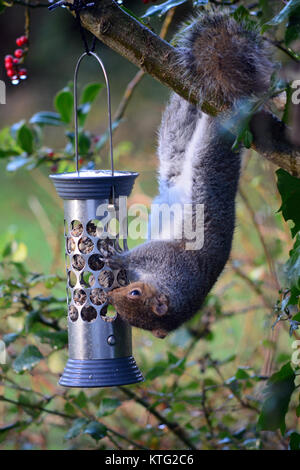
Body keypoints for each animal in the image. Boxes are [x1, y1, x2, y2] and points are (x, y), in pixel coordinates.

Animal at [106, 10, 274, 338]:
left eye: (134, 295)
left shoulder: (169, 260)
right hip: (178, 141)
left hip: (207, 155)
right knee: (182, 114)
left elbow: (145, 253)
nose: (109, 295)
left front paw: (117, 257)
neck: (174, 289)